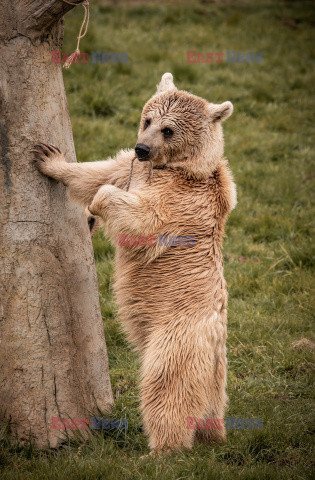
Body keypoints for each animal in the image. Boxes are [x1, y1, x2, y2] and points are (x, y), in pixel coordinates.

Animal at [34, 73, 237, 452]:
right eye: (147, 119)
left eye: (168, 129)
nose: (143, 148)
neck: (177, 167)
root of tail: (216, 342)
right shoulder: (132, 170)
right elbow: (97, 173)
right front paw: (49, 157)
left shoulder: (181, 201)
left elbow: (141, 220)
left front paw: (96, 207)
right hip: (214, 370)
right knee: (211, 401)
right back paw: (211, 433)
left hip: (177, 337)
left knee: (168, 388)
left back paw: (163, 450)